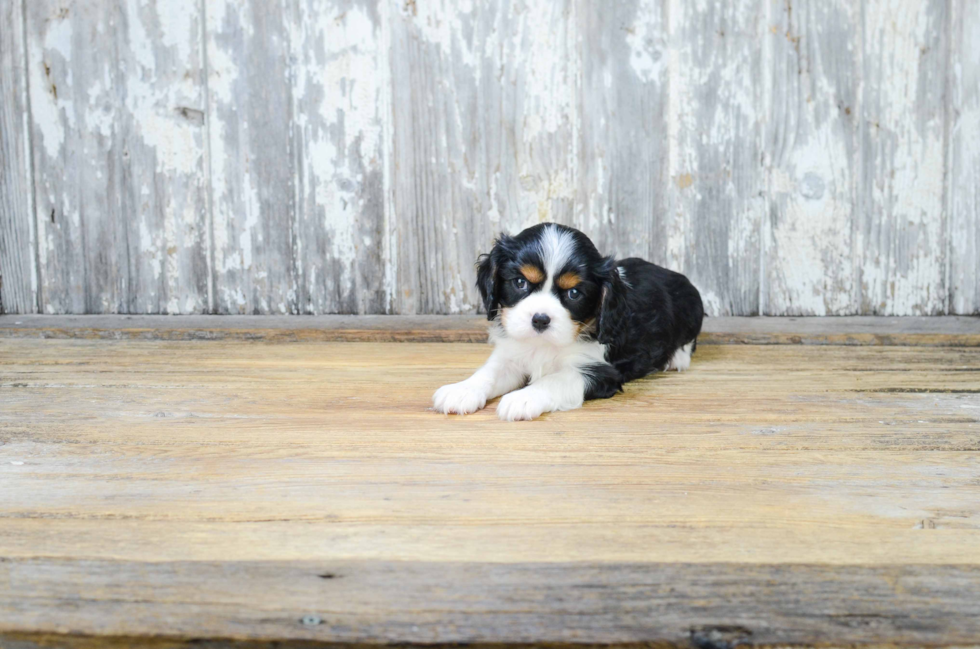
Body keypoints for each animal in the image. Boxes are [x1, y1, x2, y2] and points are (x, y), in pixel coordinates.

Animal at [432, 224, 700, 420]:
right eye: (520, 283)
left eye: (573, 293)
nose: (540, 319)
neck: (542, 345)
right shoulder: (512, 354)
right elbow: (490, 372)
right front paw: (462, 390)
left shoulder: (597, 371)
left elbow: (554, 380)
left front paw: (523, 398)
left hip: (691, 309)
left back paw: (676, 358)